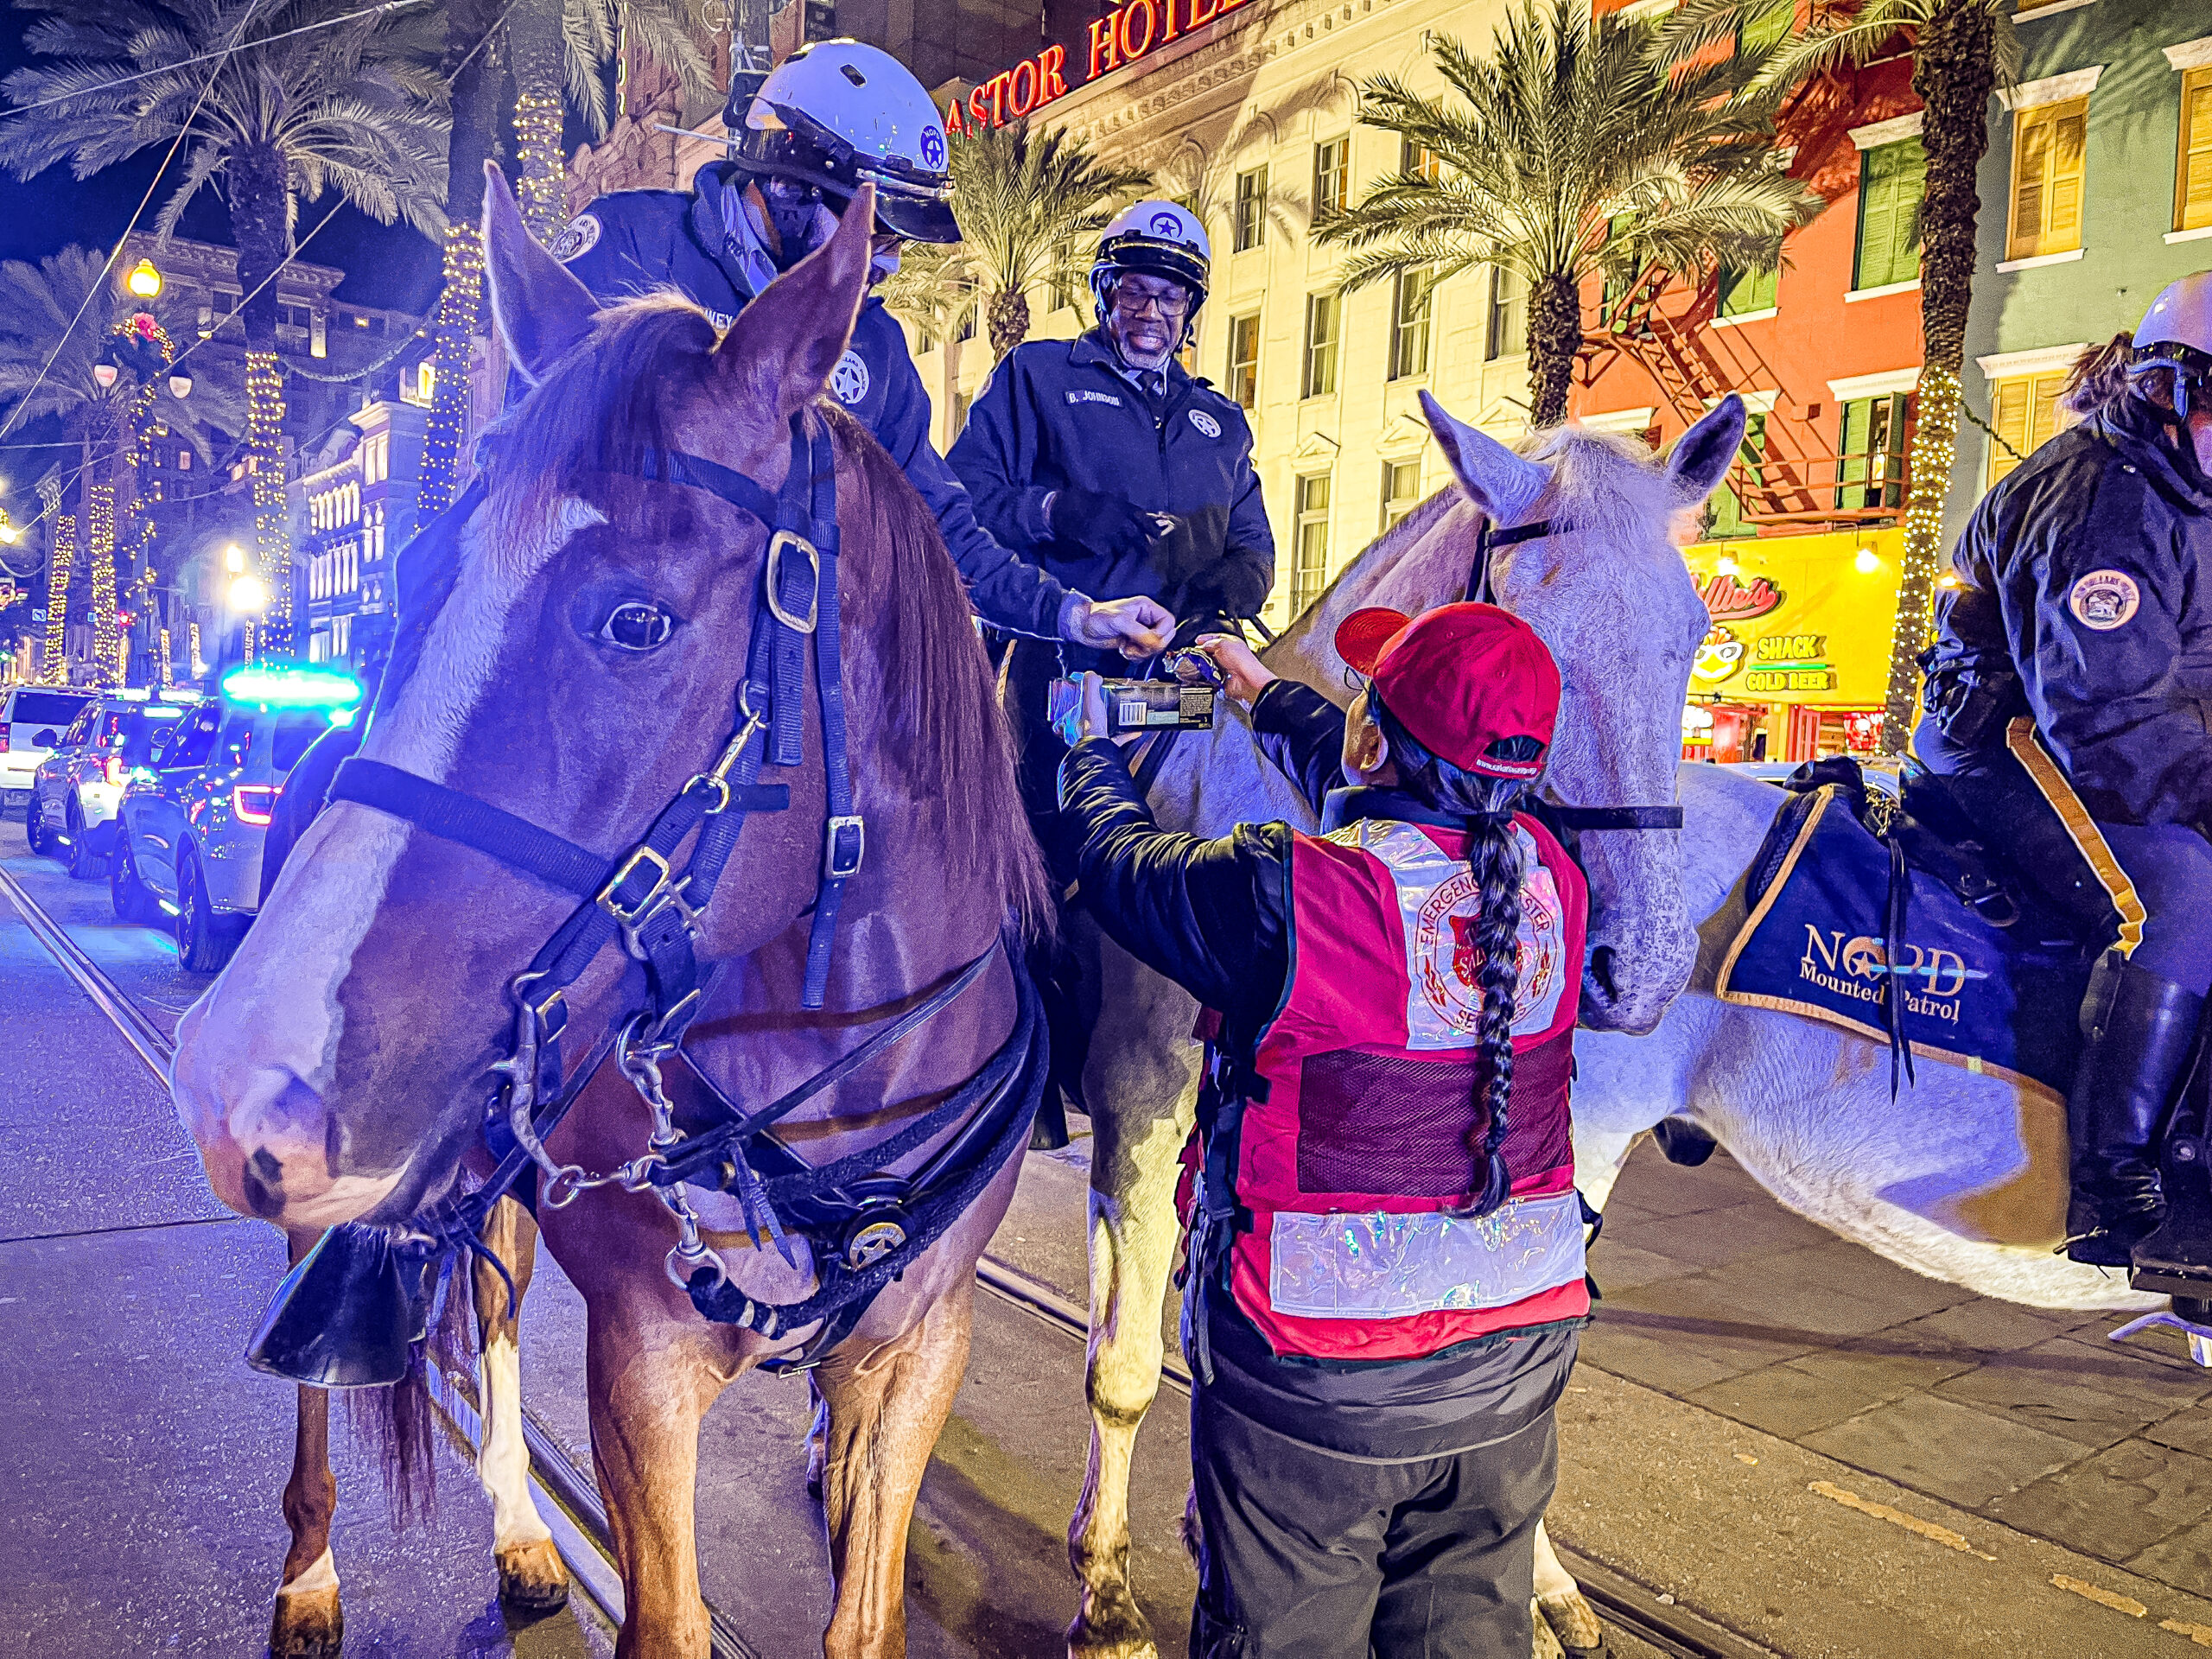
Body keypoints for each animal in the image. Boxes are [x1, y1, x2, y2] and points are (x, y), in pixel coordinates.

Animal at [168, 172, 1048, 1659]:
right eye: (410, 575)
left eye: (636, 622)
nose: (240, 1077)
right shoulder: (644, 1365)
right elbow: (667, 1616)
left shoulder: (914, 1356)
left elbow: (864, 1609)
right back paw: (318, 1569)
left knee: (492, 1293)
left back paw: (522, 1534)